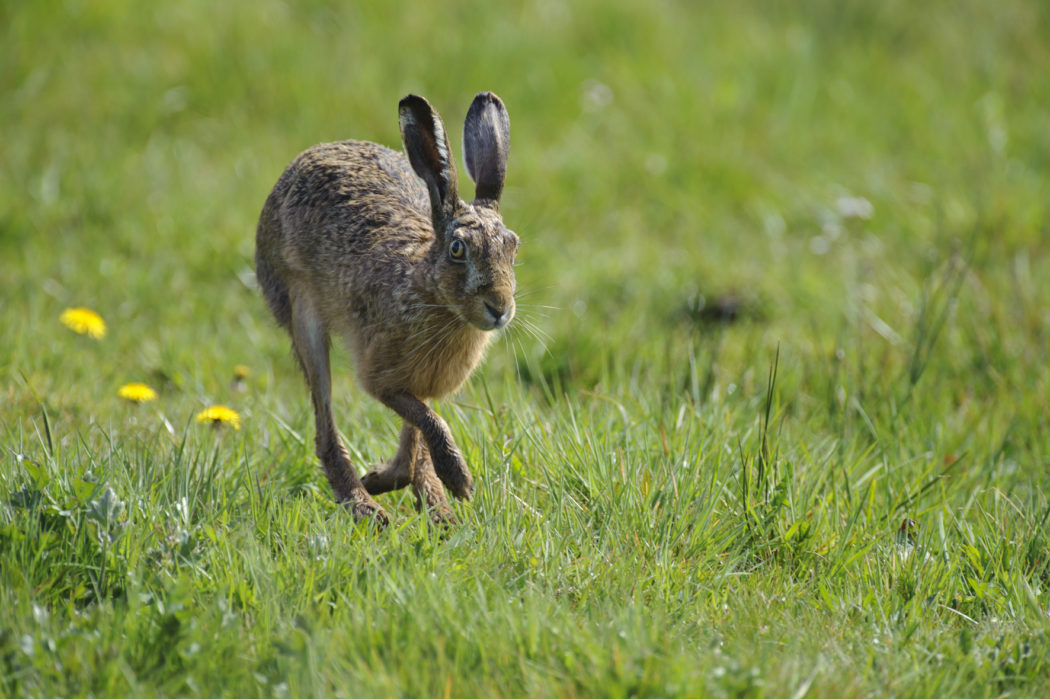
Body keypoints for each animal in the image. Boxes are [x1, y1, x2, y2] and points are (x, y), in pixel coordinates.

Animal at [255, 92, 517, 525]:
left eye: (514, 247)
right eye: (457, 249)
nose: (500, 307)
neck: (428, 290)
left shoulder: (422, 384)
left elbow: (418, 434)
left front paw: (397, 480)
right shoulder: (381, 378)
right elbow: (428, 422)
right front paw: (458, 479)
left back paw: (432, 509)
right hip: (300, 311)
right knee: (324, 424)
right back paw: (365, 507)